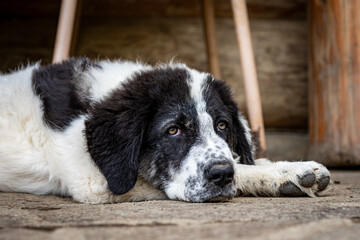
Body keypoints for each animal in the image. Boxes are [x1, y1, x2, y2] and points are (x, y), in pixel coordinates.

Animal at [0, 57, 332, 202]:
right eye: (173, 131)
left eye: (222, 125)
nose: (221, 175)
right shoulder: (91, 180)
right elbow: (242, 168)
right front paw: (286, 172)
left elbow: (242, 159)